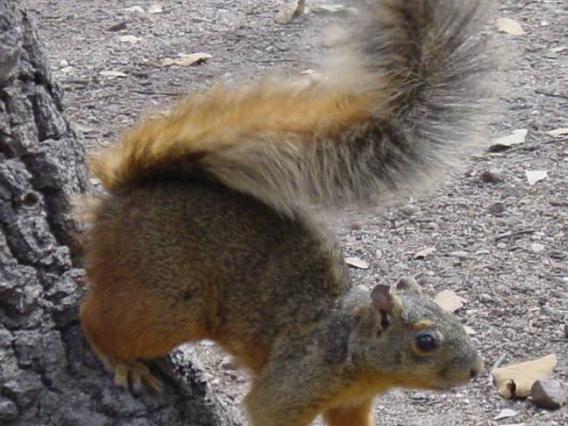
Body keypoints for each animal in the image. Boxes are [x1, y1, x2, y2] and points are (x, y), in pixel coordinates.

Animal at [77, 0, 494, 424]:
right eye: (425, 341)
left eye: (456, 320)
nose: (476, 369)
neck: (350, 344)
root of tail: (123, 194)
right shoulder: (297, 380)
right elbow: (266, 408)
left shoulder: (352, 403)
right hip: (167, 298)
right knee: (93, 317)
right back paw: (120, 358)